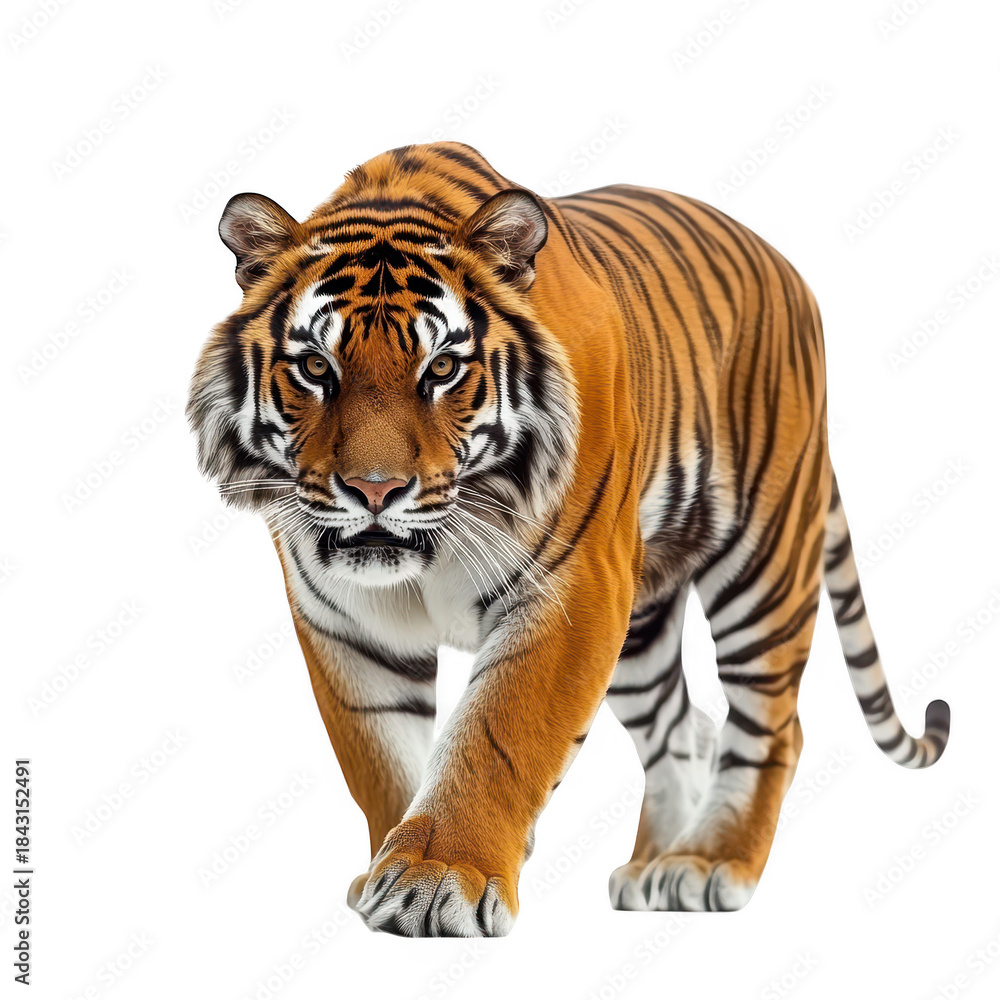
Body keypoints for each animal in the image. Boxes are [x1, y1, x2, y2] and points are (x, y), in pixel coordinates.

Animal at [187, 140, 950, 936]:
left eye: (442, 368)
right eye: (315, 367)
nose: (374, 490)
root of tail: (791, 272)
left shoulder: (570, 591)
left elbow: (496, 736)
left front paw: (436, 878)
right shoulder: (347, 624)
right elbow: (383, 760)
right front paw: (386, 874)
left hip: (763, 565)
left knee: (772, 726)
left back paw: (709, 863)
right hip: (640, 625)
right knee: (679, 725)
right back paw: (650, 868)